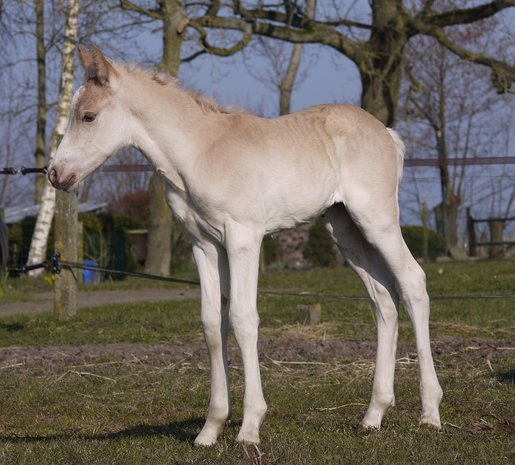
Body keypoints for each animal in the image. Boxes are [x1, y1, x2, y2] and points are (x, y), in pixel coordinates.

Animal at [49, 45, 444, 444]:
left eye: (88, 116)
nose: (55, 174)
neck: (200, 152)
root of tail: (386, 133)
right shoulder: (205, 244)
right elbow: (212, 324)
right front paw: (210, 429)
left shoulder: (244, 239)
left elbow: (242, 319)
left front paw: (250, 427)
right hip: (344, 229)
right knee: (384, 297)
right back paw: (373, 414)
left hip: (377, 220)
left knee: (412, 282)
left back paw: (430, 413)